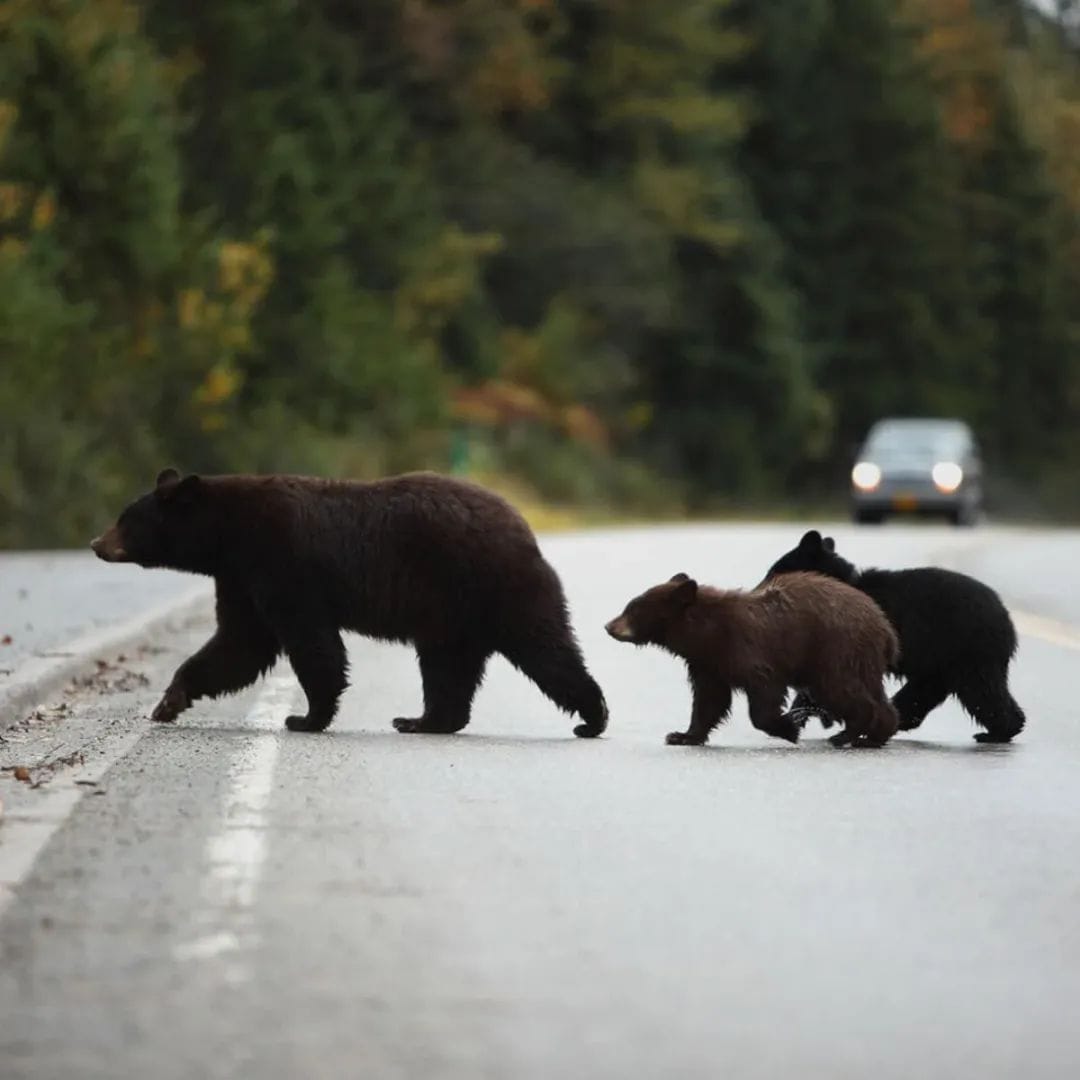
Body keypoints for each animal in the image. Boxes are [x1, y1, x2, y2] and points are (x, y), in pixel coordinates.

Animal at [91, 468, 609, 738]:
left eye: (126, 519)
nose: (96, 542)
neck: (227, 534)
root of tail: (523, 526)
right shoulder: (240, 578)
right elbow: (240, 643)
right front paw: (169, 701)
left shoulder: (282, 562)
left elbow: (309, 642)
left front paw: (305, 717)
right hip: (451, 616)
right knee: (448, 668)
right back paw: (423, 720)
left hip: (495, 588)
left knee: (545, 648)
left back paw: (593, 717)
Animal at [604, 570, 898, 747]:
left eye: (632, 608)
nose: (608, 626)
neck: (706, 633)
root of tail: (884, 627)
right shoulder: (709, 663)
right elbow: (709, 700)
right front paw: (682, 735)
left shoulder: (747, 649)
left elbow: (763, 690)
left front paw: (788, 728)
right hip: (862, 659)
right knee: (872, 694)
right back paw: (874, 736)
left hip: (834, 650)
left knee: (841, 689)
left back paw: (845, 735)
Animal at [764, 531, 1023, 743]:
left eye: (774, 571)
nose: (762, 588)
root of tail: (1006, 618)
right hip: (942, 661)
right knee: (925, 692)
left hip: (968, 651)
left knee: (981, 690)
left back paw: (998, 732)